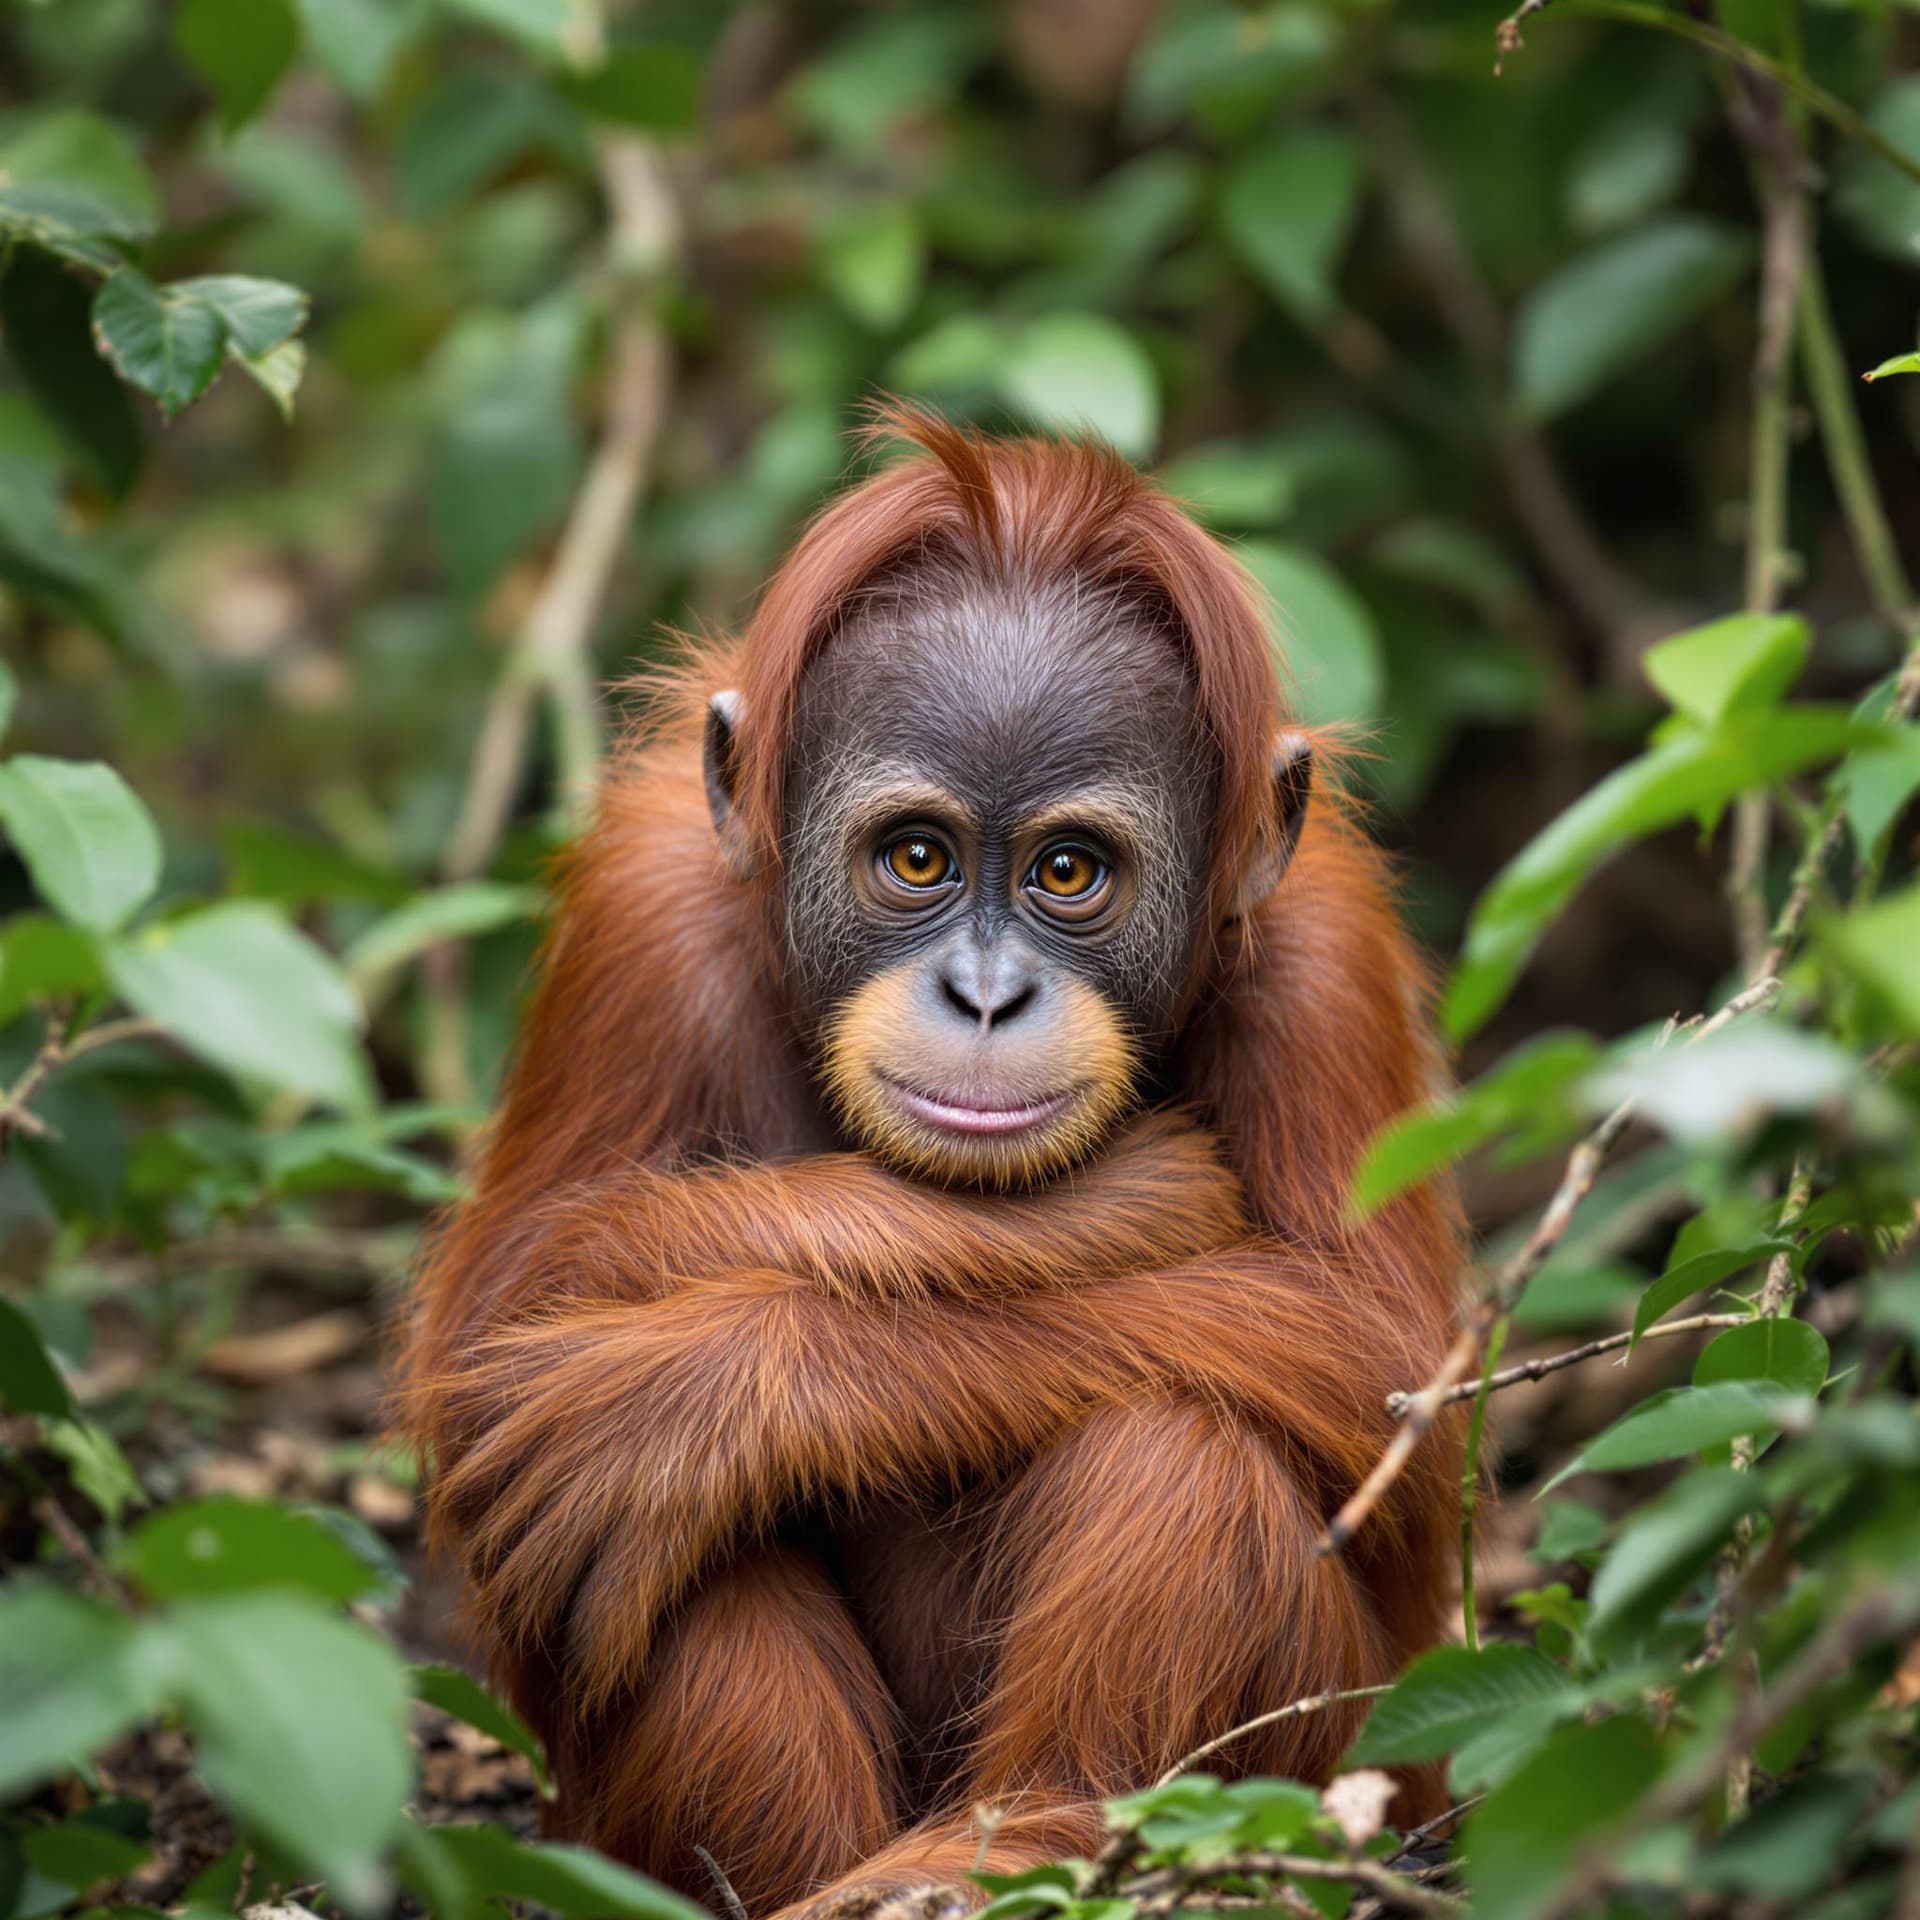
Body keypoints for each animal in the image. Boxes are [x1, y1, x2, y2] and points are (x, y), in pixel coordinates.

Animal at [403, 405, 1464, 1919]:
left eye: (1069, 873)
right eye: (917, 858)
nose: (984, 996)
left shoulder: (1323, 961)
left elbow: (1381, 1362)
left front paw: (704, 1389)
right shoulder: (641, 912)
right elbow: (502, 1315)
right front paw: (1115, 1203)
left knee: (1178, 1444)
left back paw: (1021, 1840)